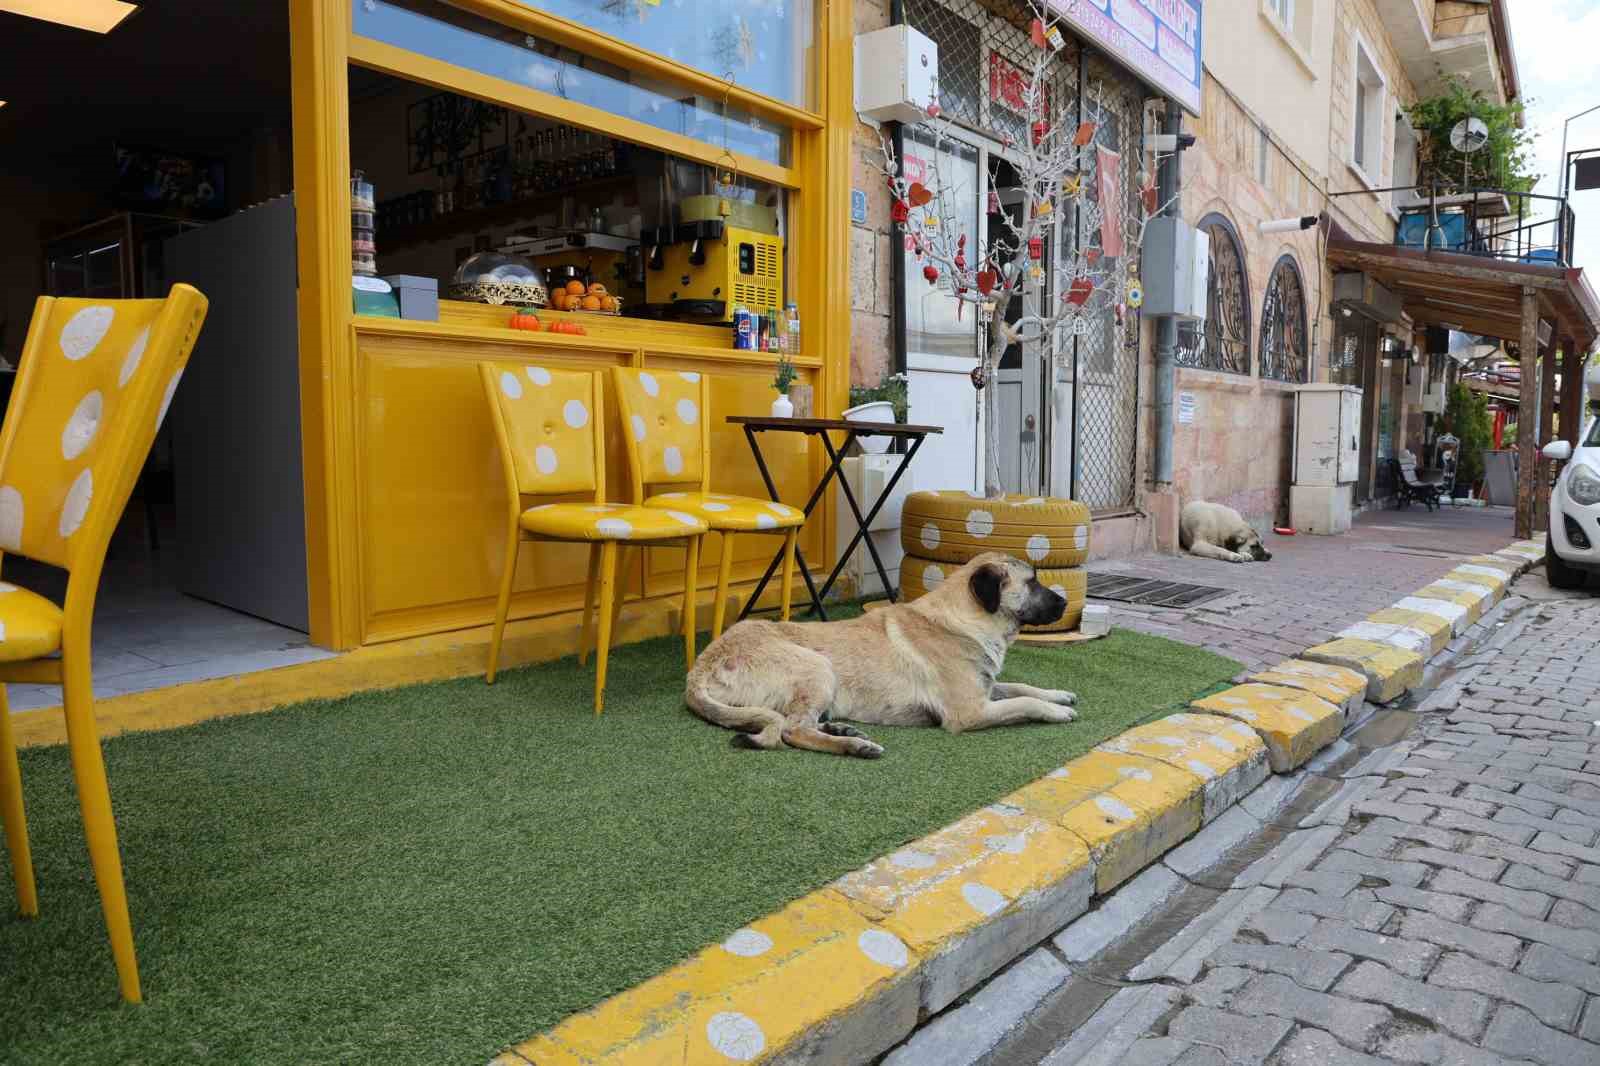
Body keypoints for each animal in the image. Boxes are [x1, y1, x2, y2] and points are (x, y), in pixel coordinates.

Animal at [684, 547, 1075, 755]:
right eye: (1033, 582)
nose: (1065, 602)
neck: (965, 618)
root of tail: (700, 667)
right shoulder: (969, 711)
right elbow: (1025, 702)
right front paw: (1057, 711)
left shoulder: (986, 687)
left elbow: (1022, 687)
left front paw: (1059, 694)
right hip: (818, 665)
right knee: (791, 730)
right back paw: (852, 747)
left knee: (799, 722)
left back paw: (842, 730)